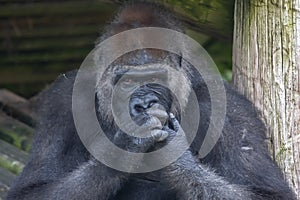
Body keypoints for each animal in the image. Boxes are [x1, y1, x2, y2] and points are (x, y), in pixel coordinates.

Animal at [6, 1, 296, 200]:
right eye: (126, 83)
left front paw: (175, 155)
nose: (143, 105)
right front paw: (125, 146)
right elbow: (30, 191)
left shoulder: (233, 110)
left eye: (155, 78)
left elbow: (270, 194)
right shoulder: (64, 101)